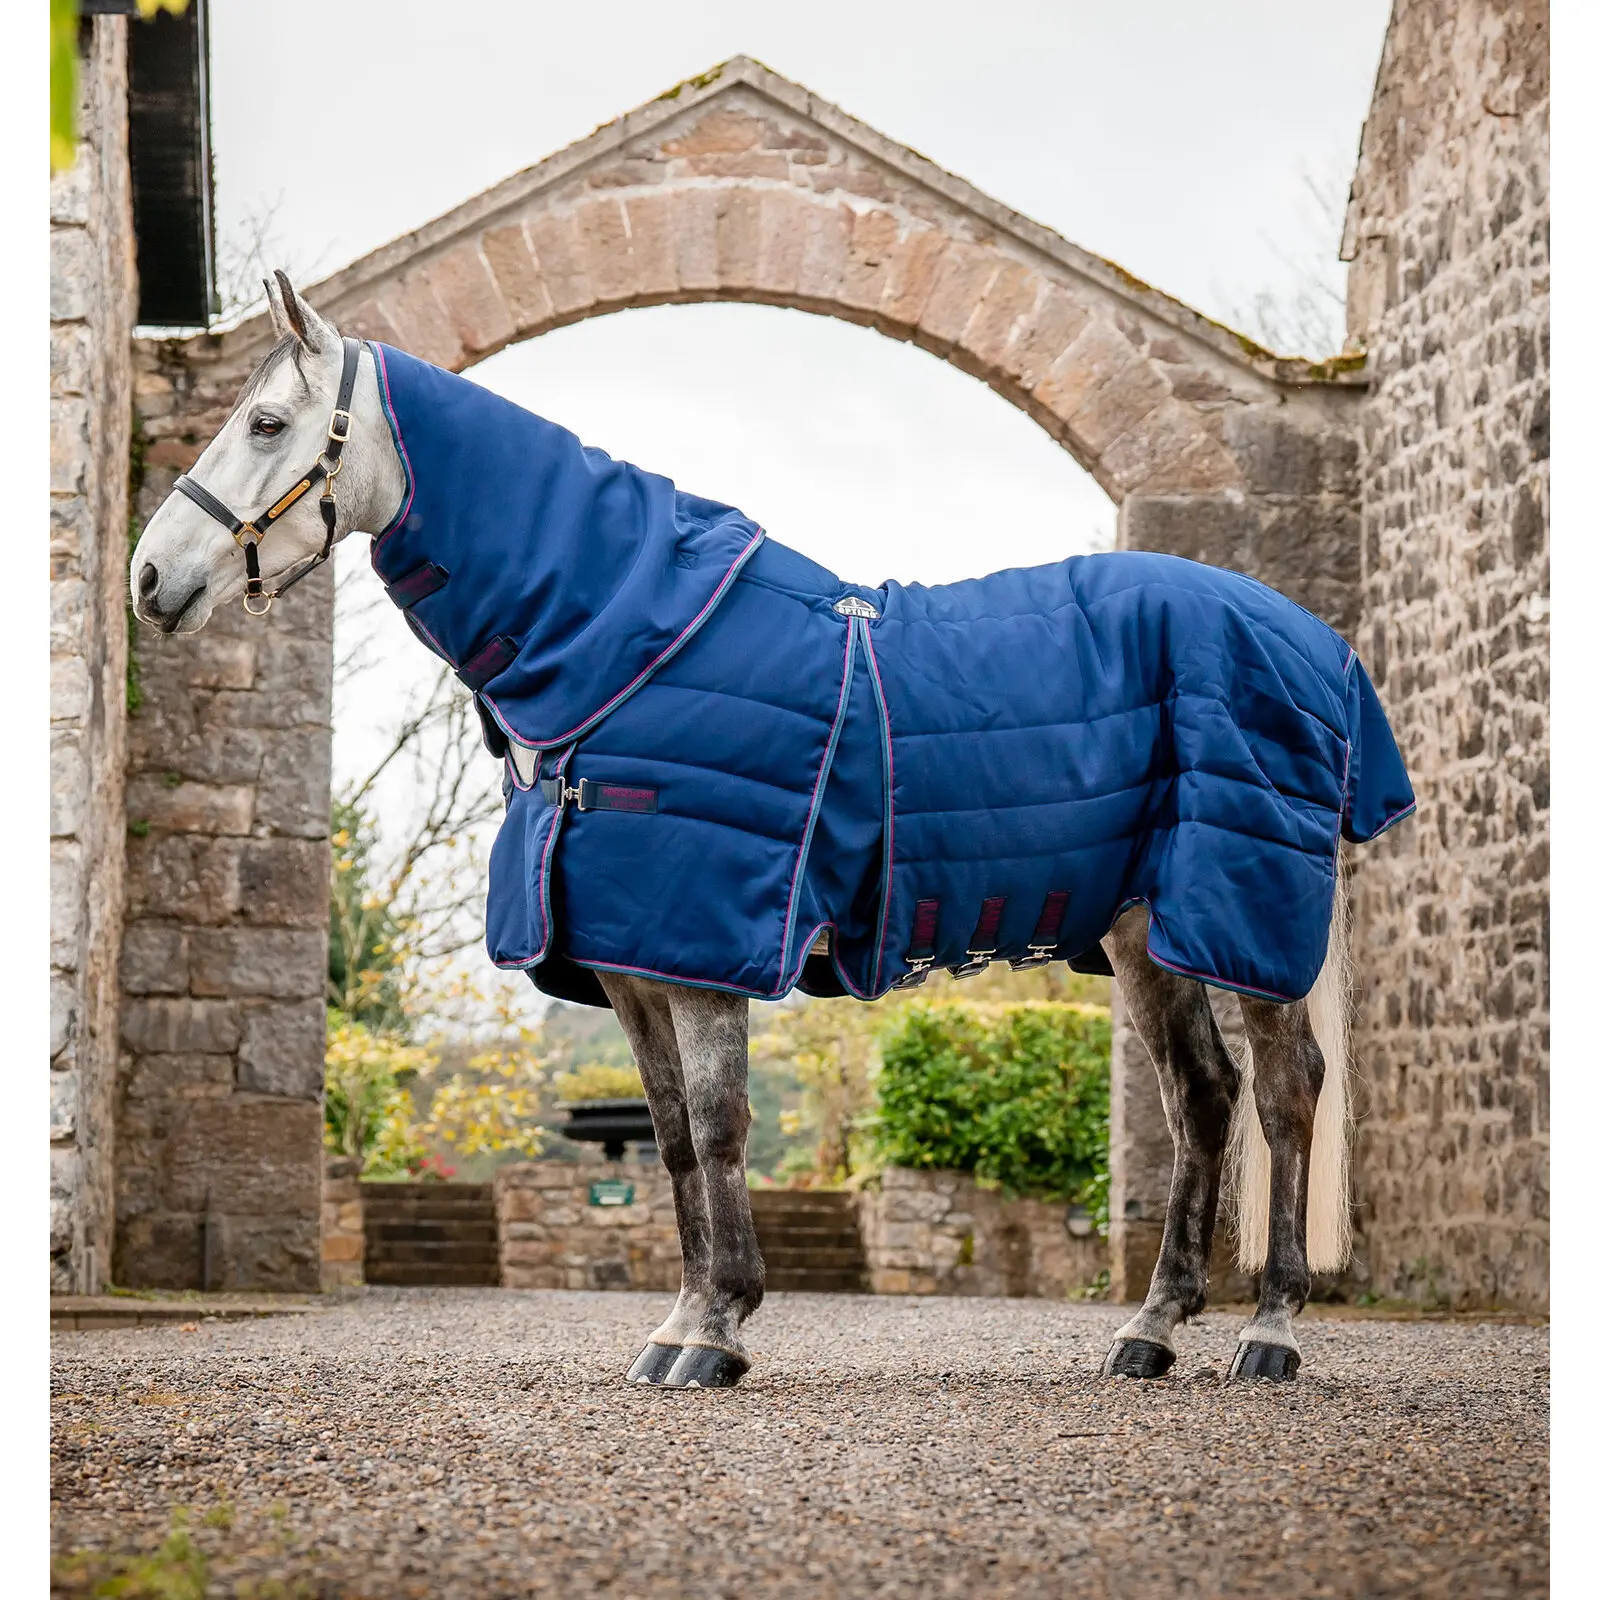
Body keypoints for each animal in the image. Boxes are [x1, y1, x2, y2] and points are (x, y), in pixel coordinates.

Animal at [130, 272, 1414, 1391]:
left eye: (266, 421)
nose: (149, 577)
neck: (636, 640)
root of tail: (1313, 638)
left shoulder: (702, 944)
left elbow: (717, 1125)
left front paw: (715, 1334)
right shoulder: (630, 960)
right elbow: (672, 1141)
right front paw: (681, 1321)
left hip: (1239, 907)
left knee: (1284, 1091)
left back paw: (1270, 1329)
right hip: (1148, 929)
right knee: (1199, 1098)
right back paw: (1150, 1329)